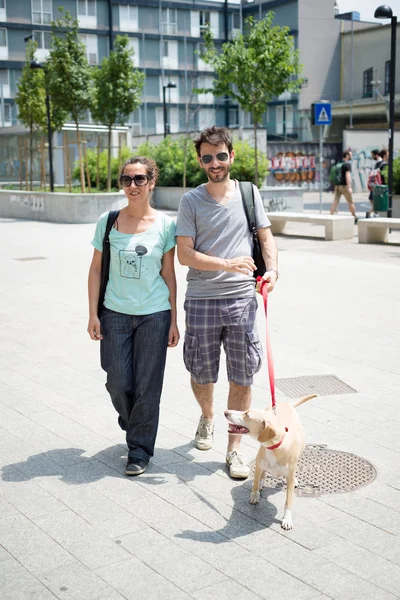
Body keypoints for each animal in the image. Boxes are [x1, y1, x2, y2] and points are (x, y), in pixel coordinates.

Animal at [225, 394, 316, 528]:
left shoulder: (289, 475)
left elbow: (288, 500)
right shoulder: (259, 464)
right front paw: (255, 495)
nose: (226, 412)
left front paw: (287, 519)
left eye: (247, 414)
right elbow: (256, 482)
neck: (275, 446)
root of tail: (285, 404)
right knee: (261, 474)